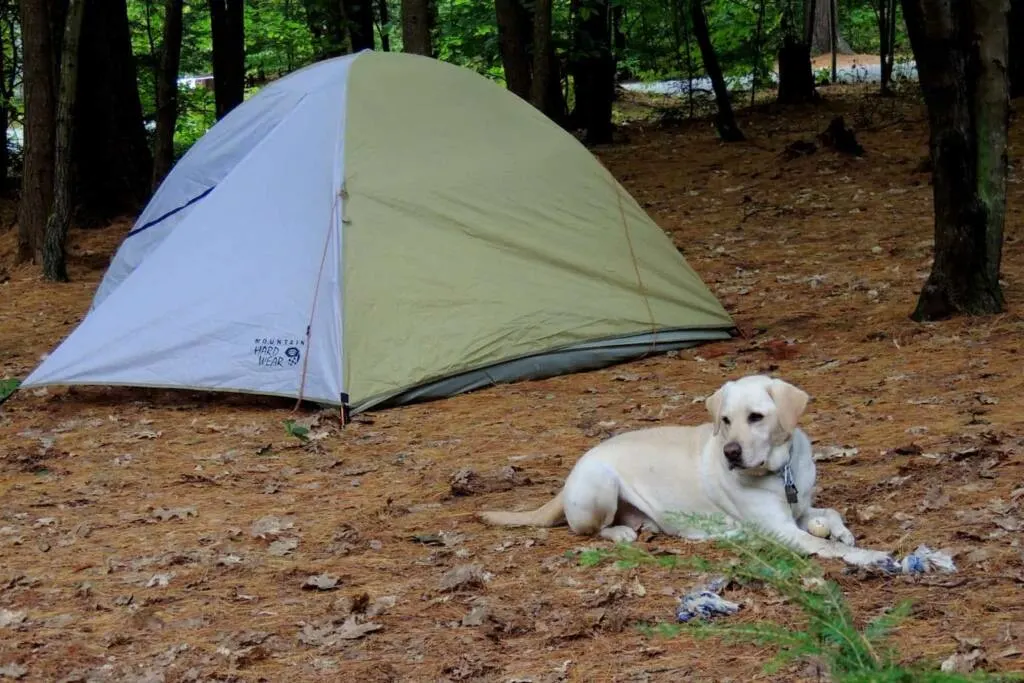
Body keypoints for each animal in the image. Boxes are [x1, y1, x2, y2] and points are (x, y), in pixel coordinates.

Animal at [479, 374, 897, 573]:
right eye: (725, 420)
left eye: (756, 417)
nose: (731, 453)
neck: (780, 471)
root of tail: (573, 470)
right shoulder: (781, 531)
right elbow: (829, 547)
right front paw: (873, 556)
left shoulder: (800, 509)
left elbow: (830, 514)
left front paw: (844, 531)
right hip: (600, 483)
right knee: (589, 530)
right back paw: (621, 532)